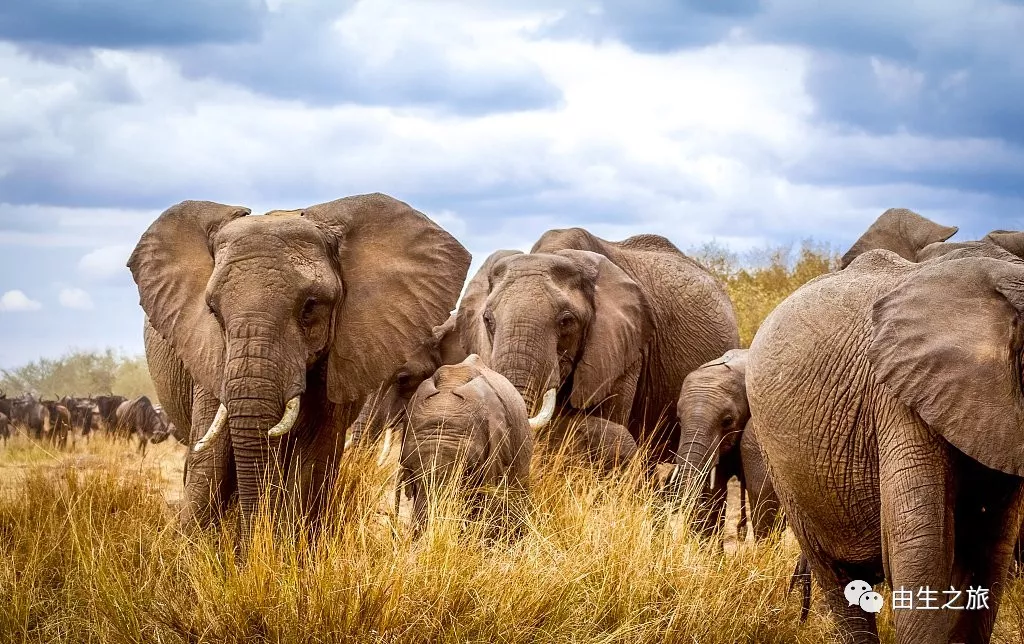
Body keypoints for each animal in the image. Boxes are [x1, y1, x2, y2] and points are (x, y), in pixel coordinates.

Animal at [124, 192, 471, 540]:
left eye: (311, 306)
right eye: (213, 310)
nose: (250, 540)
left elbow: (312, 458)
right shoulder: (208, 353)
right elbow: (211, 457)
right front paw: (195, 548)